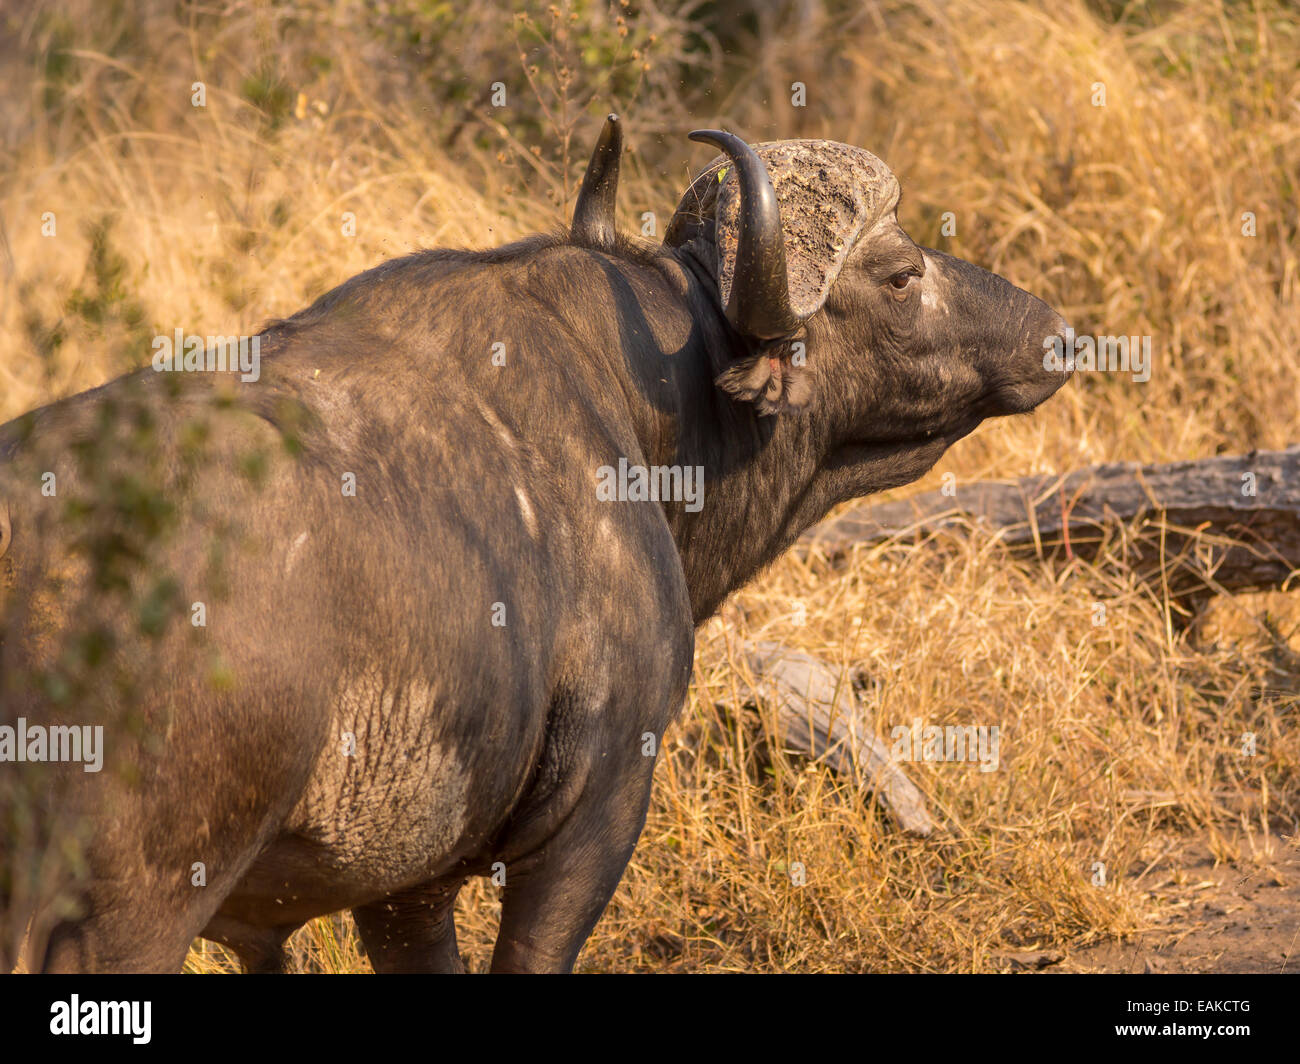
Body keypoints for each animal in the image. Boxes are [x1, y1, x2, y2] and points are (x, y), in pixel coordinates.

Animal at [2, 115, 1066, 967]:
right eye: (902, 272)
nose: (1054, 329)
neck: (646, 407)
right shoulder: (595, 813)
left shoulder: (408, 891)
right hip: (129, 917)